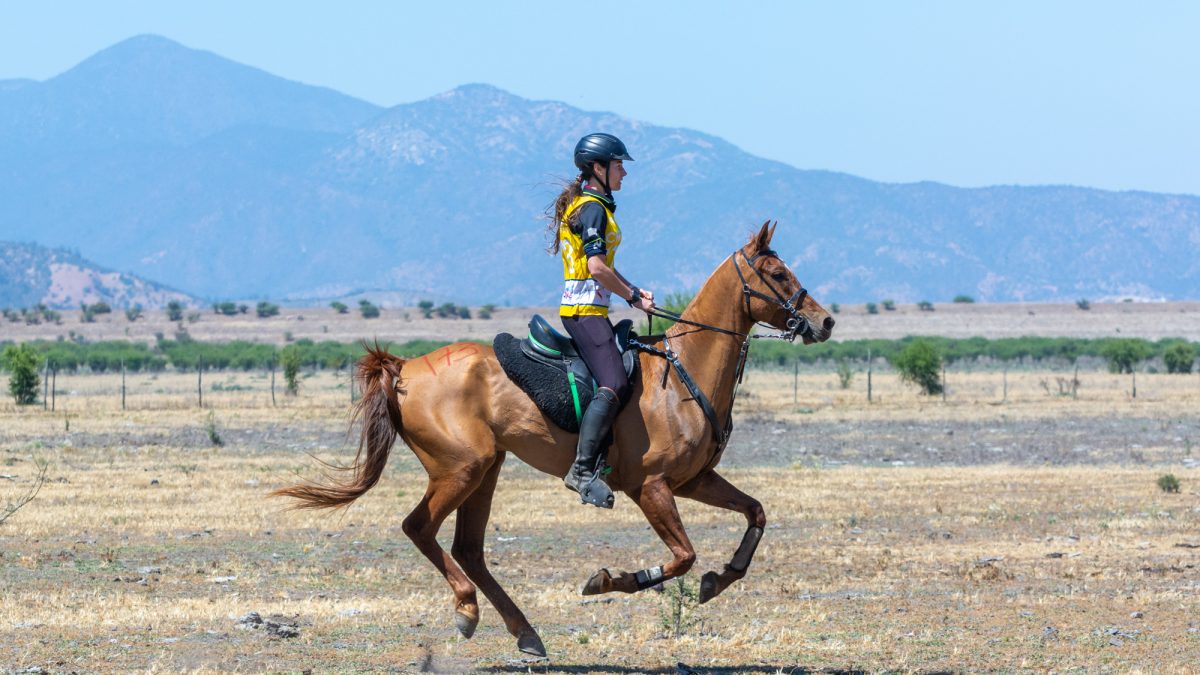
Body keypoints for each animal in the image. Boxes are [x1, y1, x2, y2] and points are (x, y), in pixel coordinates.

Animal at [272, 220, 835, 653]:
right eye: (778, 273)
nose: (825, 321)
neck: (682, 376)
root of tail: (406, 367)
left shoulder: (693, 481)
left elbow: (755, 513)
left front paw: (719, 581)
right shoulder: (651, 487)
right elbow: (681, 556)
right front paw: (608, 580)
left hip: (488, 469)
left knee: (468, 548)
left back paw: (526, 634)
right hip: (461, 468)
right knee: (419, 528)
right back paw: (467, 610)